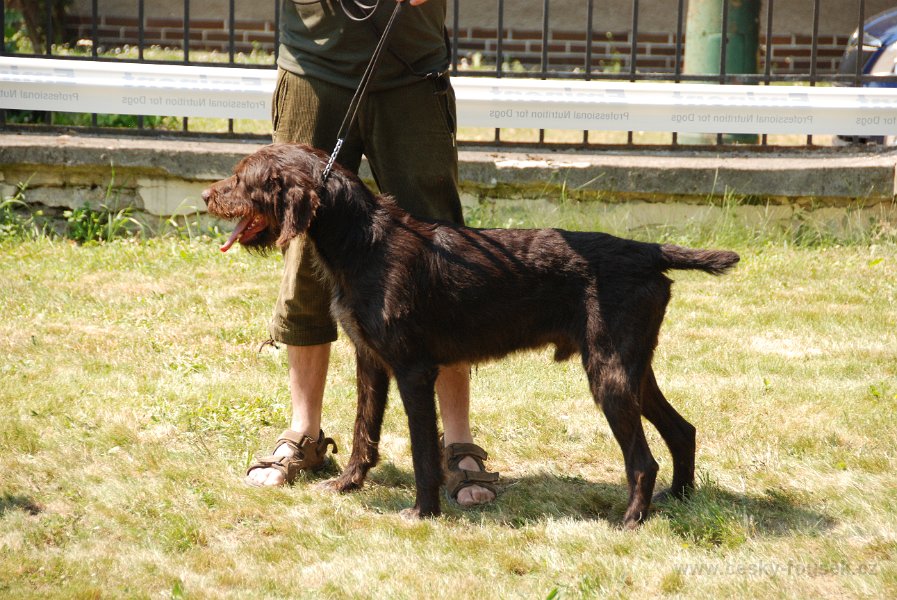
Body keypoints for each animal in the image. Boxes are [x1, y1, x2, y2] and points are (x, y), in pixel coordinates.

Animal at [205, 143, 744, 528]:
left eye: (243, 176)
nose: (209, 195)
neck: (363, 242)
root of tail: (648, 250)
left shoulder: (414, 371)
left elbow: (423, 450)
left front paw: (423, 512)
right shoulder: (371, 361)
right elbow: (363, 432)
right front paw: (346, 485)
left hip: (609, 375)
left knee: (643, 459)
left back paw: (632, 519)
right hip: (632, 370)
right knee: (683, 429)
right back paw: (679, 498)